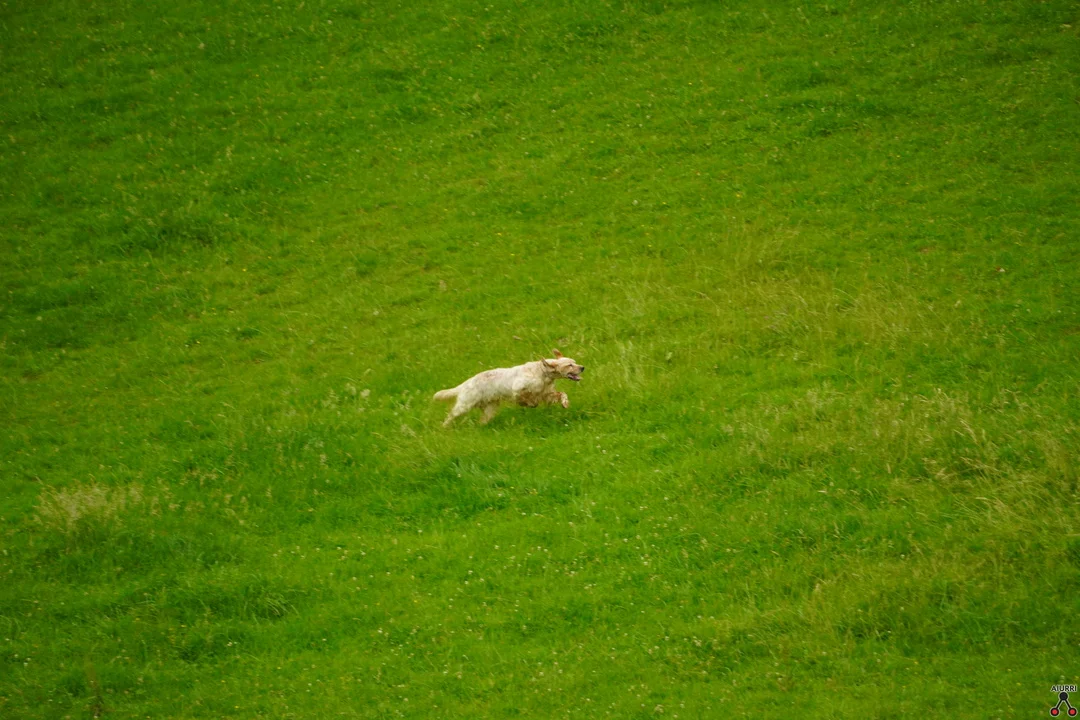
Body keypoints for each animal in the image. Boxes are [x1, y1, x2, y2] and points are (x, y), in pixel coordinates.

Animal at [433, 350, 585, 426]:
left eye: (575, 362)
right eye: (569, 365)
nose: (583, 367)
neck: (542, 373)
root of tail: (465, 383)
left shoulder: (546, 393)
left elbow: (561, 394)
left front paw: (565, 403)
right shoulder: (517, 389)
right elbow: (526, 398)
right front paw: (530, 404)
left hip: (489, 409)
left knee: (482, 421)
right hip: (464, 405)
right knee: (450, 416)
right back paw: (444, 428)